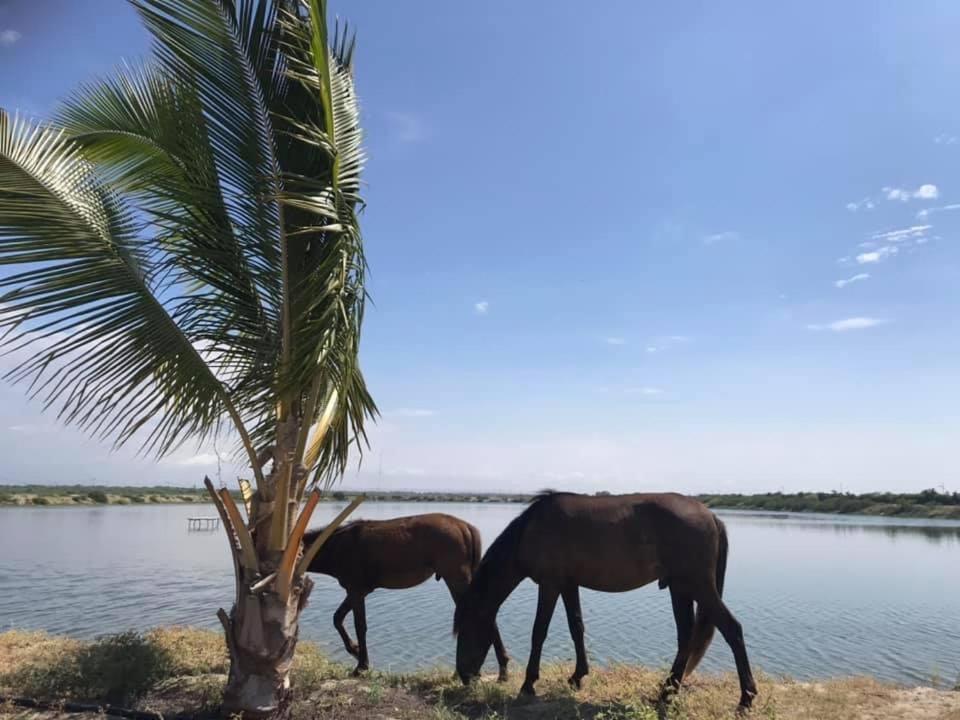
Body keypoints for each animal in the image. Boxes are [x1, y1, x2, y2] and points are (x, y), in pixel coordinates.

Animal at [306, 516, 510, 676]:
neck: (337, 546)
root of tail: (466, 527)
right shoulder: (357, 591)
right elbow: (337, 618)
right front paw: (355, 650)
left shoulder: (356, 590)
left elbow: (359, 626)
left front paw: (361, 665)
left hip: (457, 580)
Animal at [450, 492, 756, 712]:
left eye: (466, 630)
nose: (464, 675)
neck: (532, 530)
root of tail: (711, 515)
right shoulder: (568, 585)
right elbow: (576, 627)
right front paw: (577, 677)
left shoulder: (550, 585)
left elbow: (539, 632)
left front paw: (528, 684)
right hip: (680, 588)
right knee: (686, 637)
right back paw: (666, 692)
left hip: (698, 586)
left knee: (732, 629)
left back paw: (746, 698)